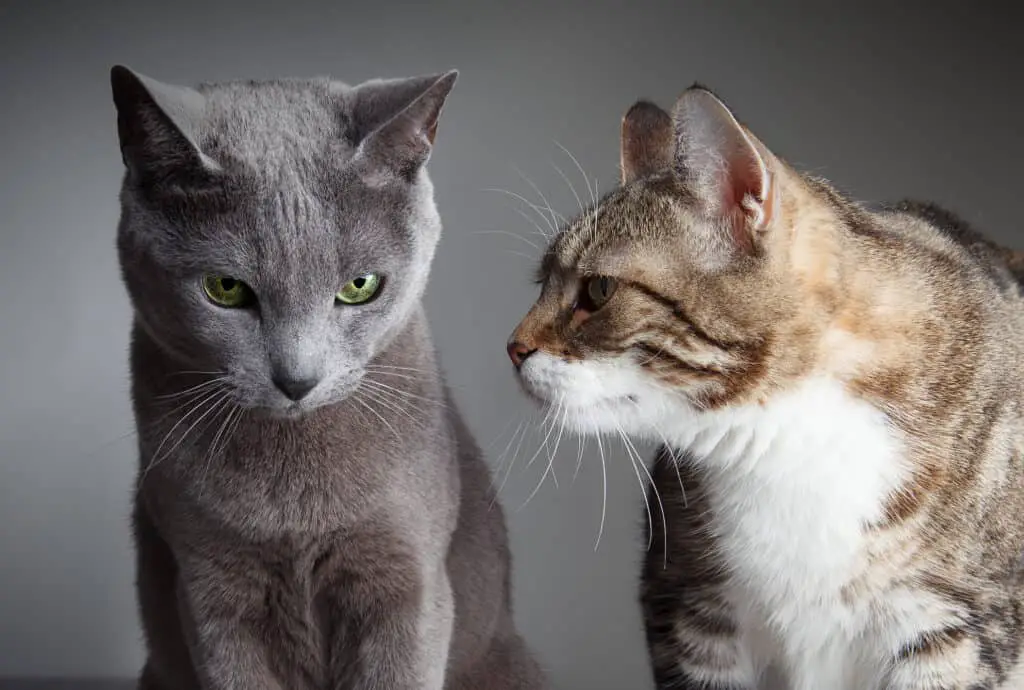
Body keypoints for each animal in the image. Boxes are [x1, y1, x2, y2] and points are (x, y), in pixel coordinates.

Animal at [109, 64, 548, 687]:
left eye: (360, 286)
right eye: (225, 289)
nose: (297, 379)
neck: (295, 507)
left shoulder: (406, 582)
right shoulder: (210, 590)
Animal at [507, 83, 1024, 683]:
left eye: (598, 291)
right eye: (542, 283)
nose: (512, 347)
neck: (790, 439)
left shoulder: (955, 626)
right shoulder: (690, 606)